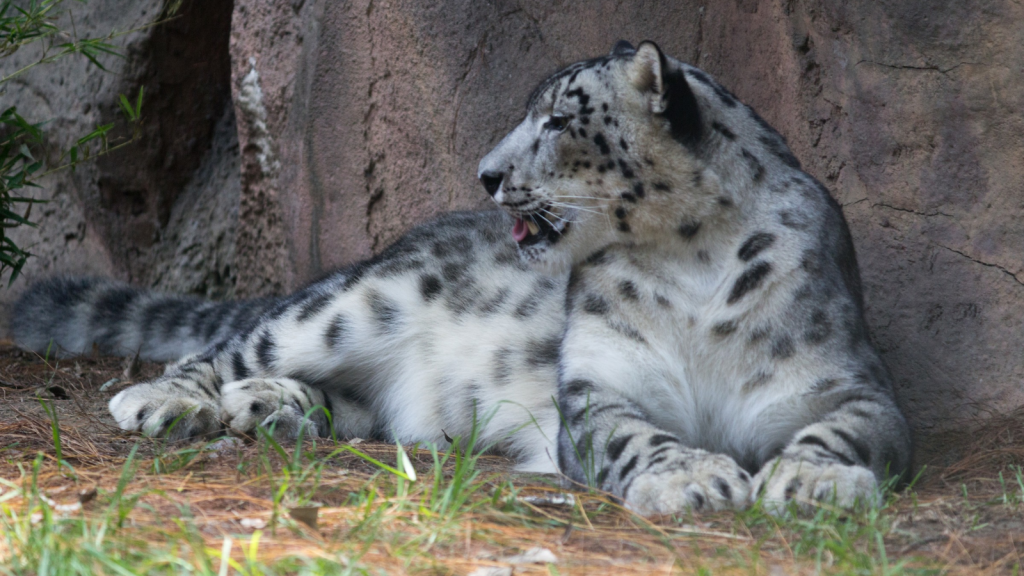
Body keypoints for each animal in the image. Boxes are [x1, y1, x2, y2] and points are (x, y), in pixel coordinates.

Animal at [12, 42, 913, 512]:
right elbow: (636, 435)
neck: (688, 263)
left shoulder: (849, 383)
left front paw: (814, 478)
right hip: (349, 306)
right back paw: (171, 401)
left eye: (557, 119)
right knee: (231, 347)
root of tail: (395, 244)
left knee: (359, 408)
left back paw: (273, 408)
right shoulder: (599, 389)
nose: (486, 173)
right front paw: (693, 476)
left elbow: (846, 428)